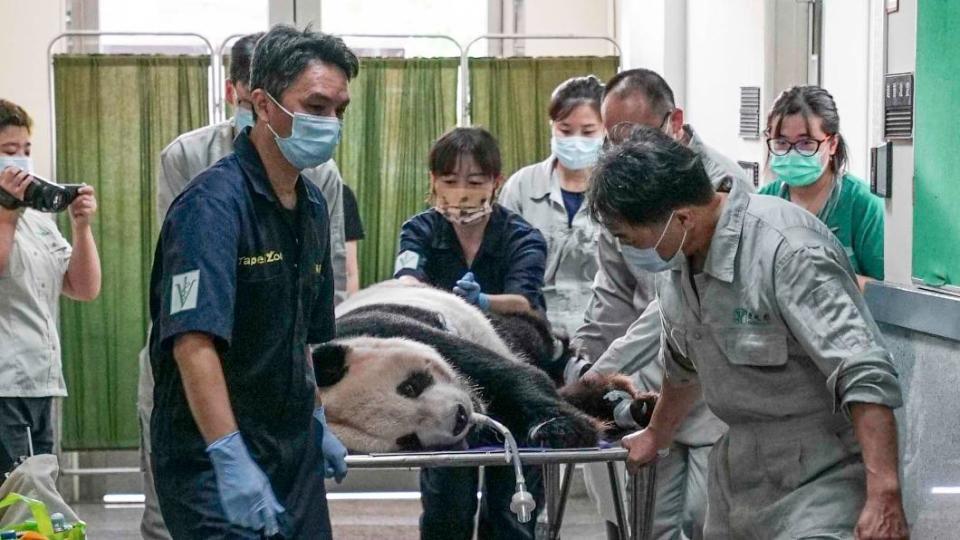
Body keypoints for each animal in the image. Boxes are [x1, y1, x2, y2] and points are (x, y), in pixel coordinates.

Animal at [316, 280, 660, 454]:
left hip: (494, 323)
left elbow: (516, 377)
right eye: (407, 439)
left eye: (410, 386)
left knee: (538, 347)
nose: (459, 418)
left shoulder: (396, 328)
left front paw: (559, 429)